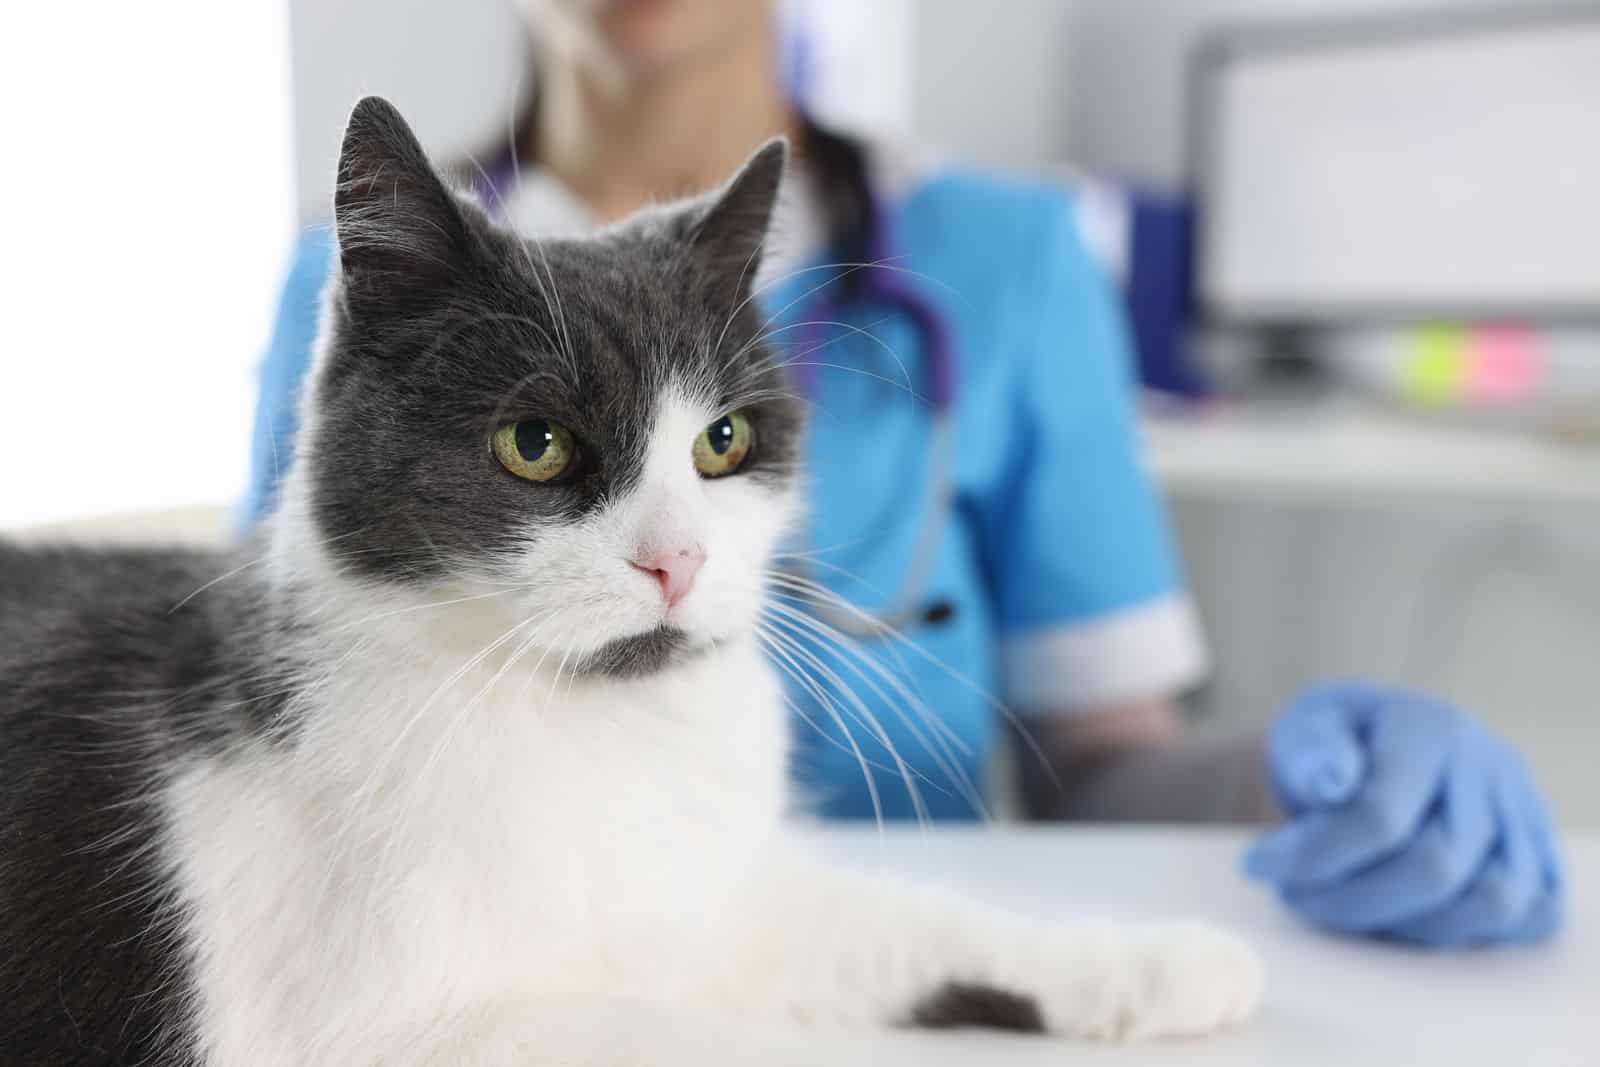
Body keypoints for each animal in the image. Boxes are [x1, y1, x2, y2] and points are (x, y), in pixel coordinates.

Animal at [0, 95, 1260, 1062]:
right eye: (535, 444)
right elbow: (698, 1036)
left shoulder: (711, 899)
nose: (678, 558)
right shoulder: (367, 1026)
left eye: (724, 441)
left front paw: (1153, 959)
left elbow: (882, 920)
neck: (598, 733)